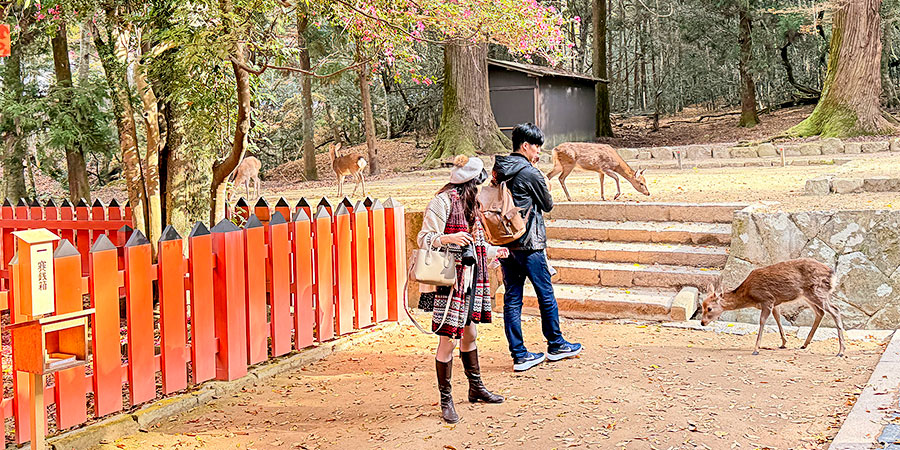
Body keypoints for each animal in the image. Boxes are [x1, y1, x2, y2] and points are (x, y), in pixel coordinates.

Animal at [700, 258, 846, 357]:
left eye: (709, 308)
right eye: (702, 305)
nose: (702, 322)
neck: (749, 296)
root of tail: (833, 275)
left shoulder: (767, 300)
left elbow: (762, 322)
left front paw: (756, 349)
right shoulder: (775, 303)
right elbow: (777, 319)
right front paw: (784, 343)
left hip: (817, 291)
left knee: (835, 310)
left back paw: (841, 351)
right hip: (807, 296)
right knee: (820, 312)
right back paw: (804, 344)